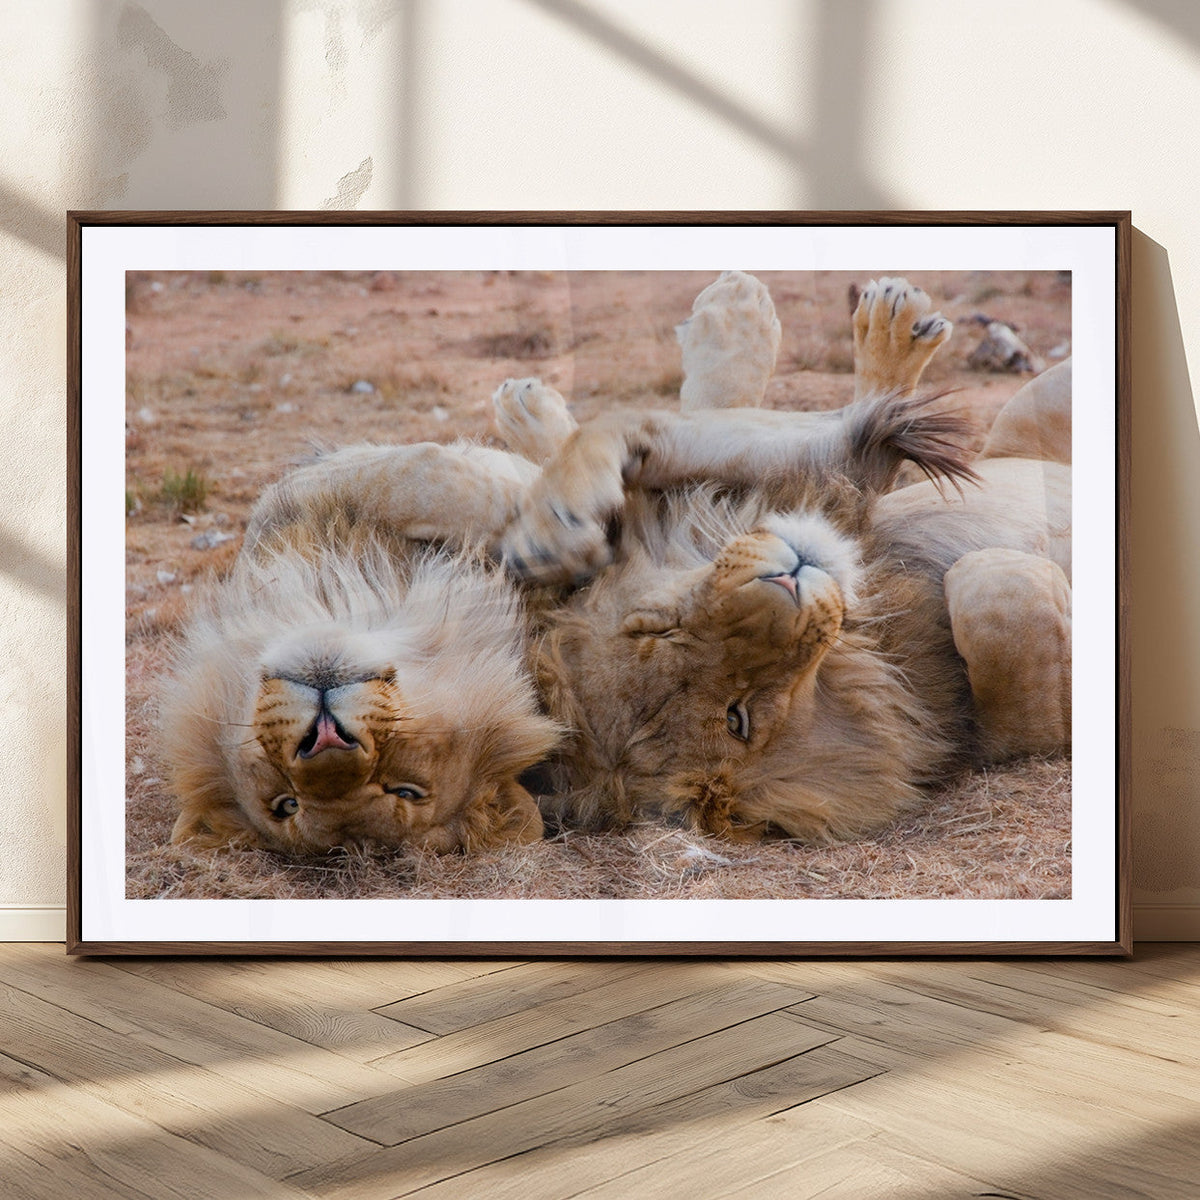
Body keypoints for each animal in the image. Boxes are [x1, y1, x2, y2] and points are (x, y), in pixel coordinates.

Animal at [497, 272, 1072, 842]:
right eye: (738, 718)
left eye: (657, 627)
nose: (789, 580)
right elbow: (991, 598)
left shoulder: (808, 471)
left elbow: (622, 426)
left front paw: (551, 531)